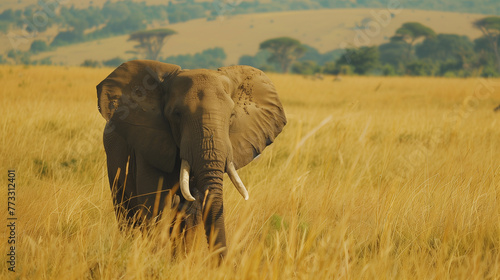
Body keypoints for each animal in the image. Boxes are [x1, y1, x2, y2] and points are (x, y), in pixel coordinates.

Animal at [95, 59, 288, 258]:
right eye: (177, 114)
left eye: (232, 116)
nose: (221, 263)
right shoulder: (147, 145)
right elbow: (155, 207)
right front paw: (155, 259)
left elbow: (191, 213)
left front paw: (180, 260)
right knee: (126, 215)